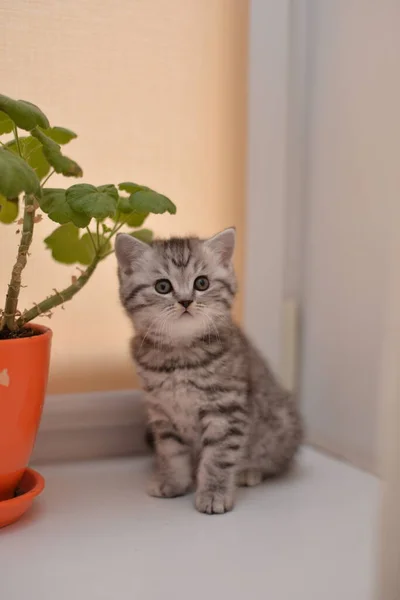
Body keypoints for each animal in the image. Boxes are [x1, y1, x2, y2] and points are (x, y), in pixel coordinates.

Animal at [114, 227, 302, 512]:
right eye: (162, 286)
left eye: (201, 283)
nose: (185, 301)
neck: (180, 357)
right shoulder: (162, 411)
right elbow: (171, 451)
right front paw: (173, 481)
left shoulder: (226, 407)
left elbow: (219, 456)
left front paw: (214, 493)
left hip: (281, 424)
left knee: (276, 461)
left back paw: (249, 471)